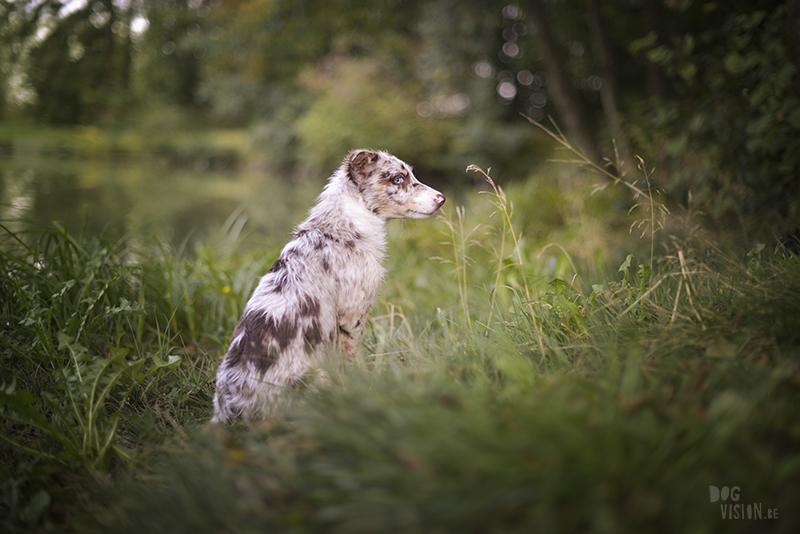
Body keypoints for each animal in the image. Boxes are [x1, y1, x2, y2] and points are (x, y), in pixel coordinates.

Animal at [211, 150, 444, 422]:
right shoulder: (352, 317)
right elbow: (350, 363)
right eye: (398, 179)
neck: (339, 229)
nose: (442, 199)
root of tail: (232, 412)